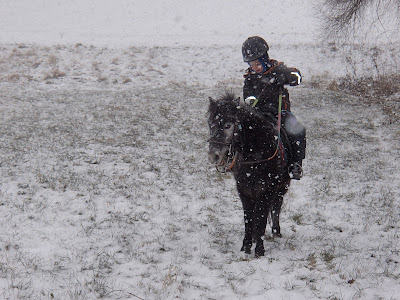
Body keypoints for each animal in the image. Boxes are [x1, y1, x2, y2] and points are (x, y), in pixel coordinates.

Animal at [209, 92, 290, 258]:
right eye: (210, 124)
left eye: (228, 125)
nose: (214, 156)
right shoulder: (244, 191)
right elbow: (249, 218)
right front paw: (246, 247)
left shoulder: (266, 192)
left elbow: (261, 218)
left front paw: (259, 250)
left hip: (282, 186)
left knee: (276, 206)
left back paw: (276, 232)